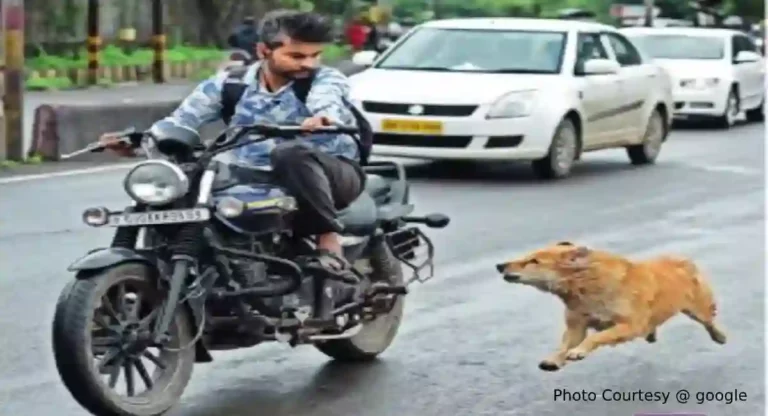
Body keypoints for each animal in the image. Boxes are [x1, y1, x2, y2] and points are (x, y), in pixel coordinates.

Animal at [498, 242, 728, 372]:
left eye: (533, 261)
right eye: (527, 257)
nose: (499, 265)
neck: (584, 284)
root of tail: (683, 260)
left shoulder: (628, 325)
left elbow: (596, 337)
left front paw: (578, 352)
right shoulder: (576, 326)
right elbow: (564, 344)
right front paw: (554, 359)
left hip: (698, 309)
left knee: (709, 321)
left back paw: (719, 336)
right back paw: (651, 333)